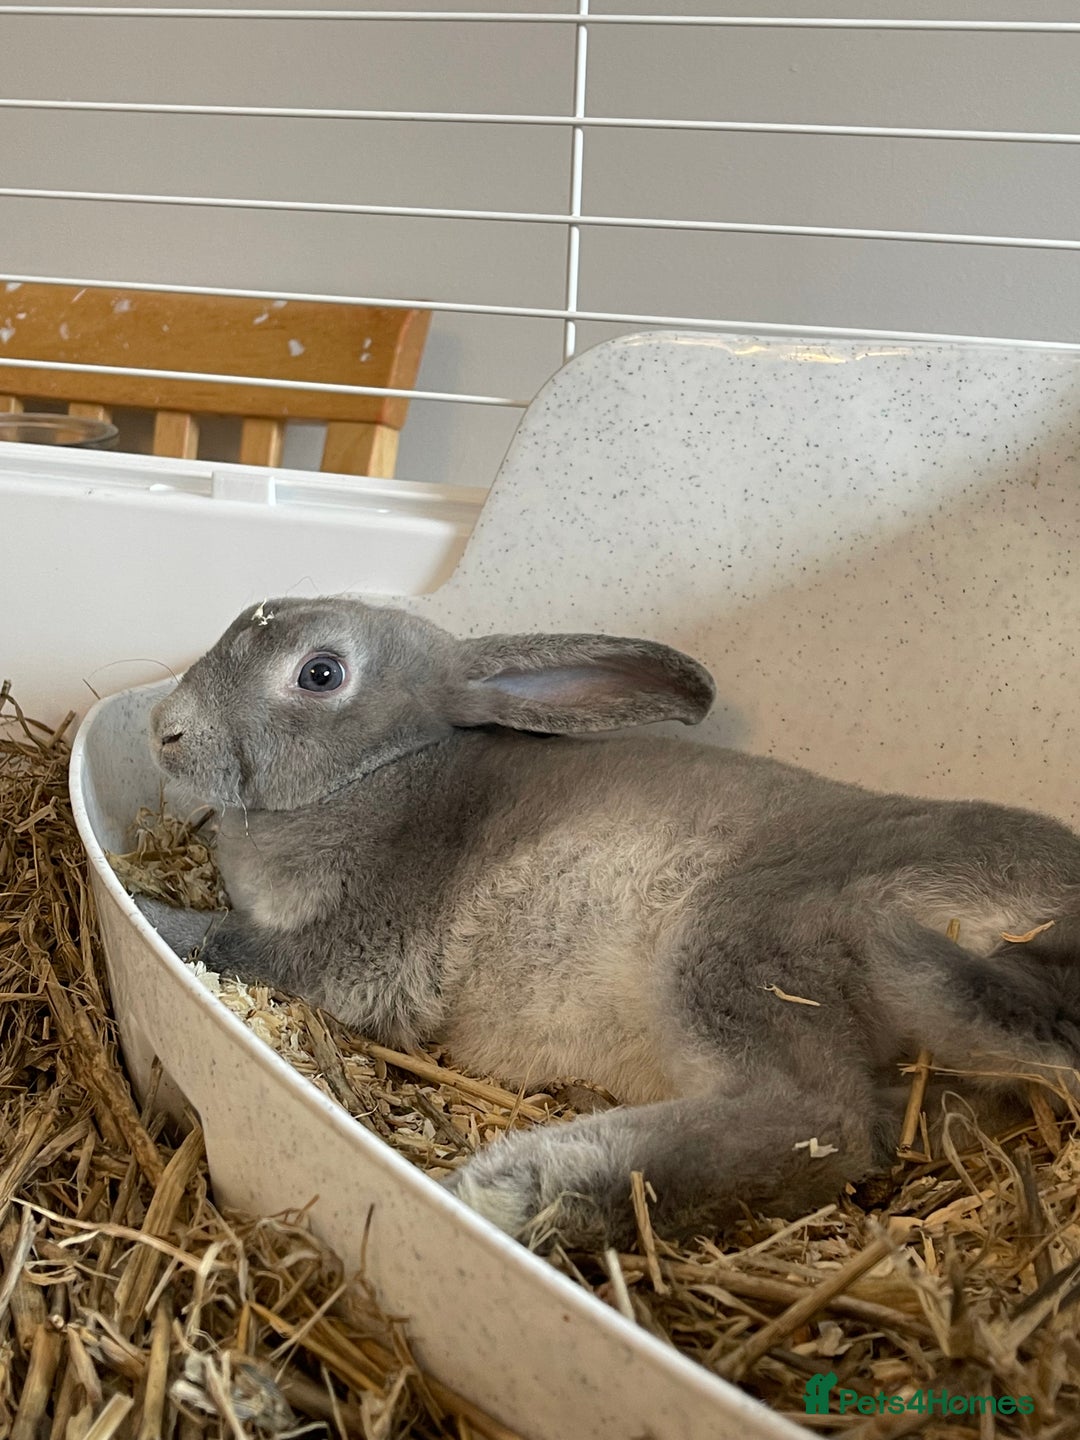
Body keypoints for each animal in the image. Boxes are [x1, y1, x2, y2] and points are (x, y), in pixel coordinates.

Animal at [145, 595, 1080, 1251]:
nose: (165, 731)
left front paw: (153, 912)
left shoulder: (355, 946)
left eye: (321, 674)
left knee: (818, 1121)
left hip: (740, 949)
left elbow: (229, 942)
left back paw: (519, 1186)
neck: (382, 769)